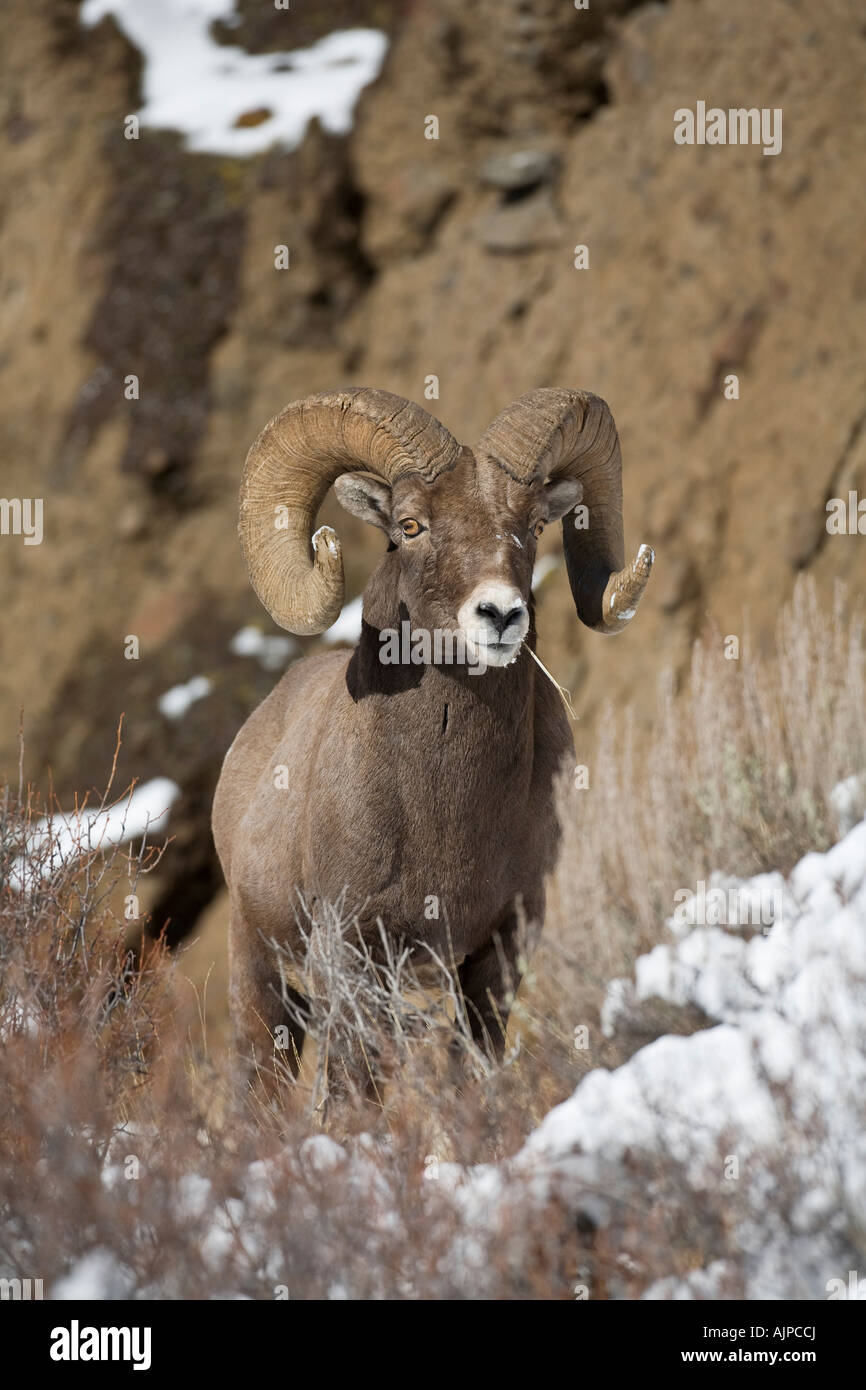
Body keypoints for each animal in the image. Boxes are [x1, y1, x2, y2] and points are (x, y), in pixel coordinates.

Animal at [212, 387, 653, 1095]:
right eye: (411, 525)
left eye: (534, 526)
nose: (500, 615)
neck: (444, 807)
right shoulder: (353, 954)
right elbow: (352, 1088)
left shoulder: (497, 952)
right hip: (258, 972)